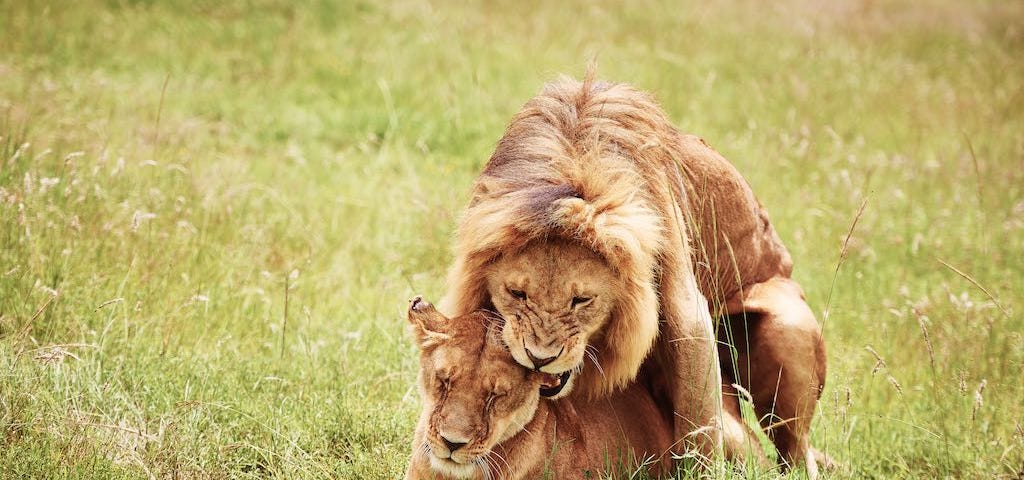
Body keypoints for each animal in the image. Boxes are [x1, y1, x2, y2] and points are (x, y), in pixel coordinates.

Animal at [444, 73, 827, 470]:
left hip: (786, 330)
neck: (574, 160)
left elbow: (697, 424)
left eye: (582, 300)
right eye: (517, 293)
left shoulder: (687, 314)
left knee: (792, 451)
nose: (540, 359)